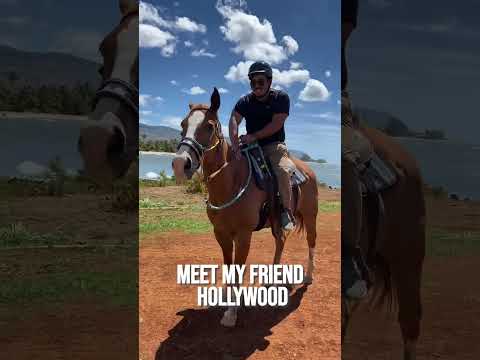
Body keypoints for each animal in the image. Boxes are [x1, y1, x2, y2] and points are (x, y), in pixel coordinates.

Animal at [172, 87, 318, 326]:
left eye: (209, 126)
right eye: (183, 124)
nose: (179, 164)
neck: (232, 182)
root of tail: (308, 170)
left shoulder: (243, 235)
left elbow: (239, 269)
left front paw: (231, 313)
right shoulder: (221, 233)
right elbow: (228, 265)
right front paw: (224, 296)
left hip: (311, 215)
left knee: (311, 241)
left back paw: (308, 276)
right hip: (277, 222)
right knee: (281, 242)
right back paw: (272, 279)